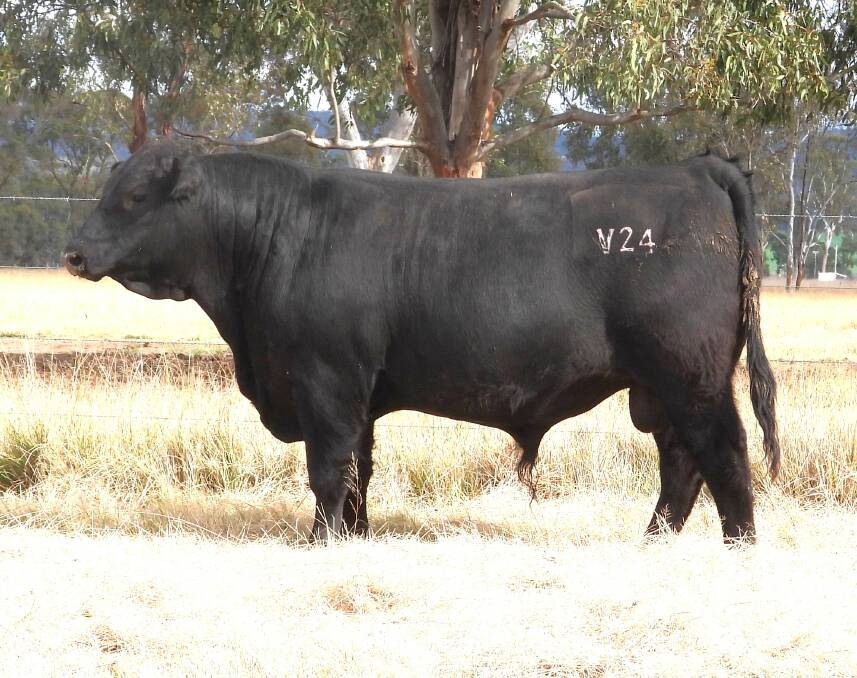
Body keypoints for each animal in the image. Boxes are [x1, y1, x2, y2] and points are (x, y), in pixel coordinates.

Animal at [63, 141, 780, 543]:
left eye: (134, 196)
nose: (73, 252)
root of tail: (696, 169)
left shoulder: (325, 382)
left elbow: (328, 469)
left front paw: (319, 541)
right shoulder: (357, 394)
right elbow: (359, 471)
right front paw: (355, 537)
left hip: (691, 377)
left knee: (724, 453)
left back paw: (739, 544)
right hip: (661, 388)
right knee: (682, 463)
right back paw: (653, 542)